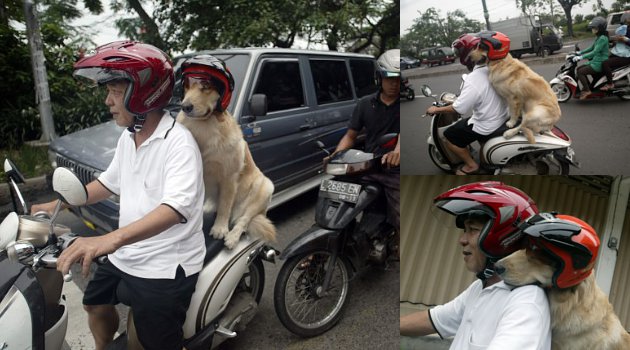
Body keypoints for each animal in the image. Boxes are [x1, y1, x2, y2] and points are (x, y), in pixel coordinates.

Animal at [177, 54, 278, 249]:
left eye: (206, 86)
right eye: (186, 85)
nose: (185, 106)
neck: (204, 126)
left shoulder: (229, 178)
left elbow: (225, 206)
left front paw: (220, 228)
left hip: (265, 188)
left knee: (244, 219)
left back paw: (233, 236)